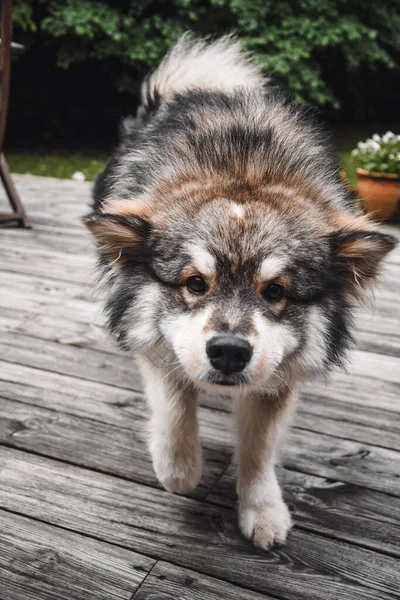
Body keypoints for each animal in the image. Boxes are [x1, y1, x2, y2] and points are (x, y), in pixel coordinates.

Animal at [85, 34, 396, 548]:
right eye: (195, 283)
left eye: (275, 291)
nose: (229, 352)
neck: (242, 169)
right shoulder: (155, 342)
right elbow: (175, 410)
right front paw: (178, 468)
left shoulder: (279, 377)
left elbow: (258, 447)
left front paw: (262, 509)